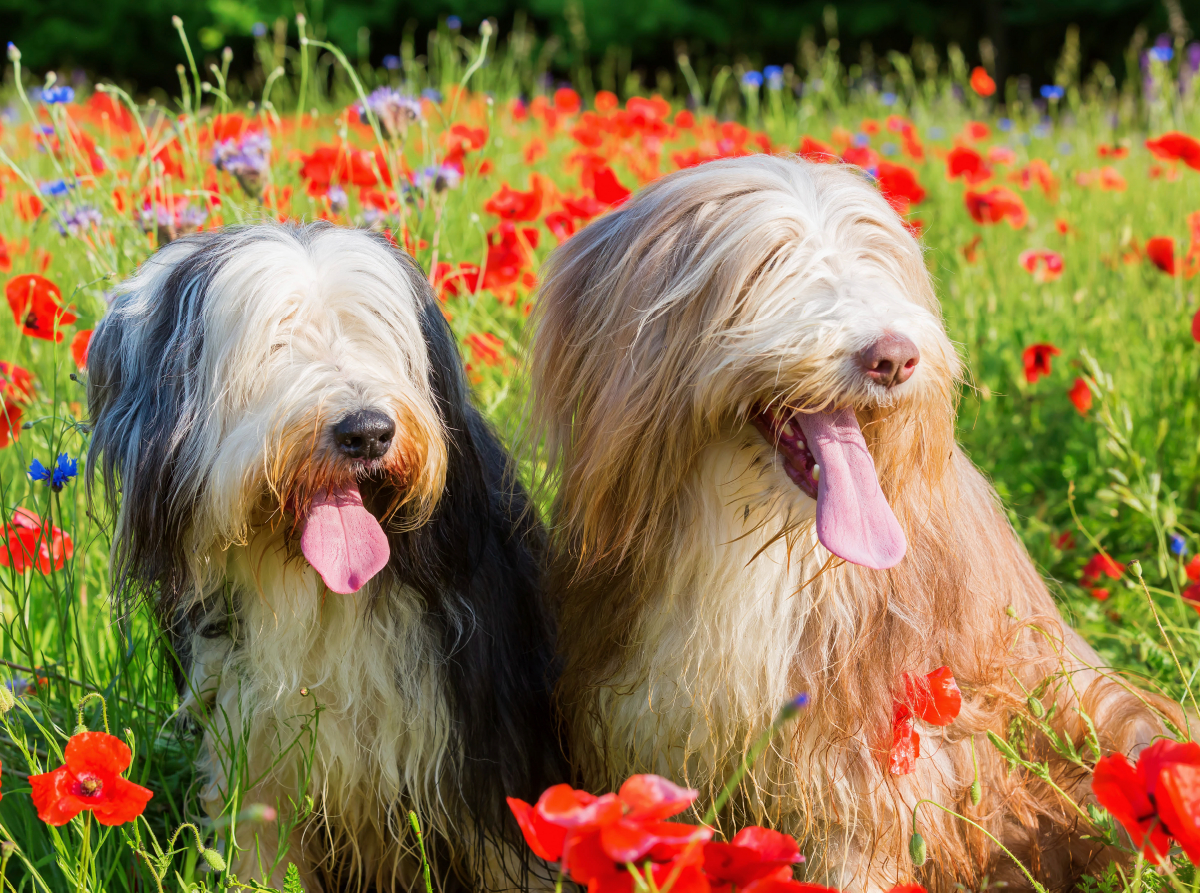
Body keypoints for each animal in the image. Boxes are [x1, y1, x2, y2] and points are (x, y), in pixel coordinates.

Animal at [84, 223, 561, 893]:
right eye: (273, 343)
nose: (368, 432)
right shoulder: (253, 753)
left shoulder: (484, 749)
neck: (321, 593)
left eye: (373, 336)